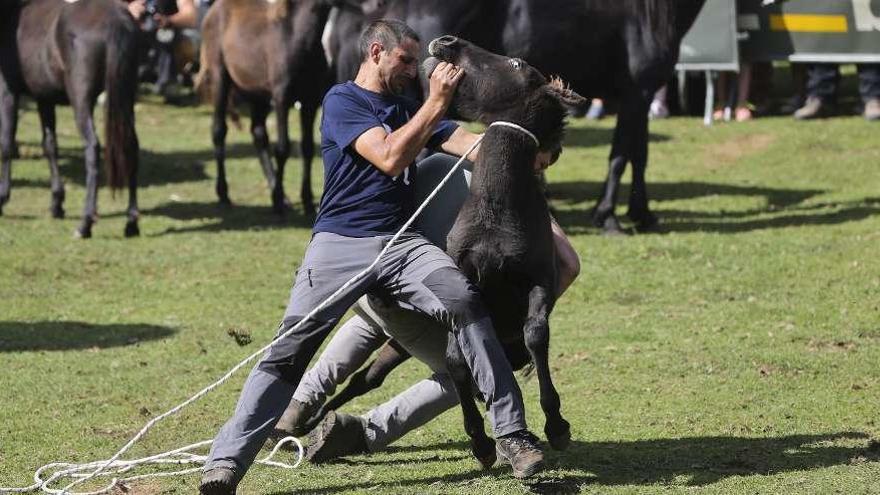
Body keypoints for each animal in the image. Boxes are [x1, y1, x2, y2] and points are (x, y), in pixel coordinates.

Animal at [0, 0, 139, 238]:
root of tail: (117, 20)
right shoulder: (44, 98)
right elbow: (50, 145)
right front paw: (57, 203)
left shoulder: (8, 91)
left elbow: (7, 144)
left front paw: (2, 198)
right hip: (125, 97)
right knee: (131, 146)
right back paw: (131, 223)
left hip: (80, 99)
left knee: (92, 147)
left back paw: (85, 224)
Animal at [198, 0, 380, 215]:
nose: (378, 3)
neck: (296, 40)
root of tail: (213, 10)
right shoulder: (281, 100)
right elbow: (282, 148)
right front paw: (277, 203)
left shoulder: (310, 102)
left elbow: (307, 148)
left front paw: (307, 201)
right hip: (220, 79)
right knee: (219, 130)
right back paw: (225, 193)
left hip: (258, 95)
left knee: (258, 134)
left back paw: (280, 194)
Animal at [330, 0, 708, 234]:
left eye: (515, 63)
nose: (447, 43)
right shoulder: (637, 93)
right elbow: (621, 157)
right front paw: (609, 217)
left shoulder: (640, 96)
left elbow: (638, 155)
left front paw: (641, 214)